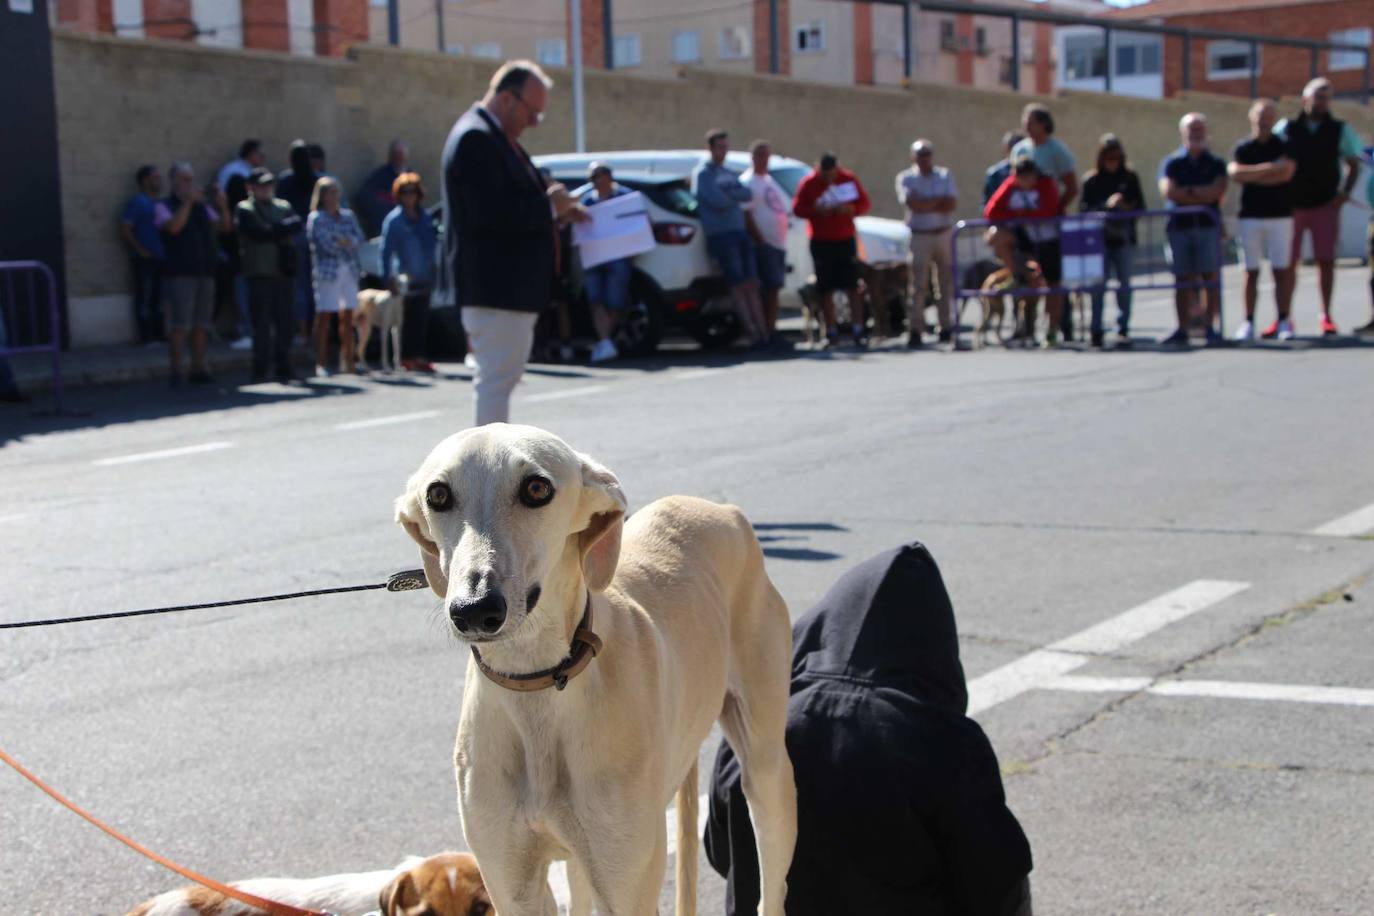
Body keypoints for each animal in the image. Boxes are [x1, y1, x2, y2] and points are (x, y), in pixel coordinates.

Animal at [398, 425, 802, 916]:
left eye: (537, 488)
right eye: (437, 494)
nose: (475, 609)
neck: (539, 685)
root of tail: (721, 509)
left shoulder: (627, 886)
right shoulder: (513, 885)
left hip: (766, 773)